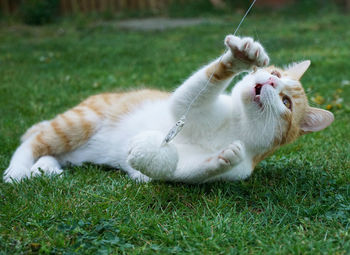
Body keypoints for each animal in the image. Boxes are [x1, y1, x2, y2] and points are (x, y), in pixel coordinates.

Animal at [3, 35, 336, 183]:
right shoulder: (187, 105)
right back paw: (16, 172)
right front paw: (240, 56)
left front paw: (221, 158)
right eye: (276, 74)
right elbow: (198, 87)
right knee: (32, 141)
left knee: (48, 151)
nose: (269, 80)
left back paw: (46, 169)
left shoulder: (234, 169)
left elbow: (181, 172)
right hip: (78, 123)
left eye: (286, 102)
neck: (239, 125)